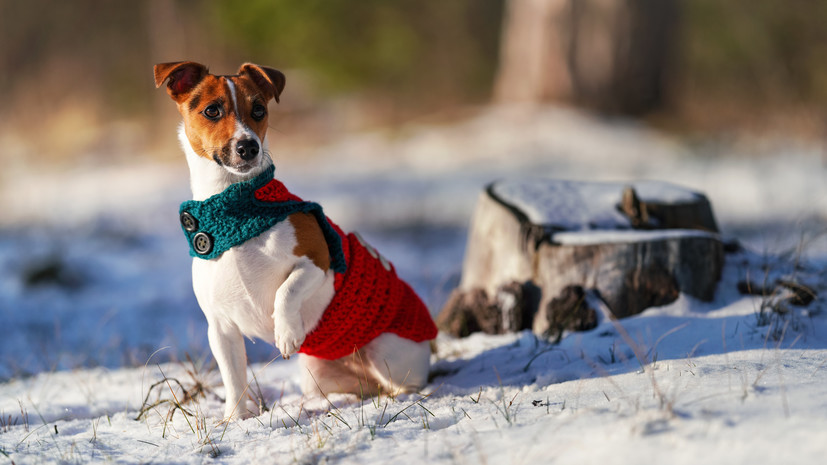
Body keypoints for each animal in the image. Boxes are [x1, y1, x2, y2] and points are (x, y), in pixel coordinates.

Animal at [156, 59, 440, 418]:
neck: (235, 210)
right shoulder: (220, 328)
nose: (248, 146)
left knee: (401, 384)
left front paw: (286, 331)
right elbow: (233, 379)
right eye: (211, 110)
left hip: (388, 354)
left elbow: (287, 290)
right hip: (317, 373)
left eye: (259, 109)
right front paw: (236, 419)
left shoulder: (319, 260)